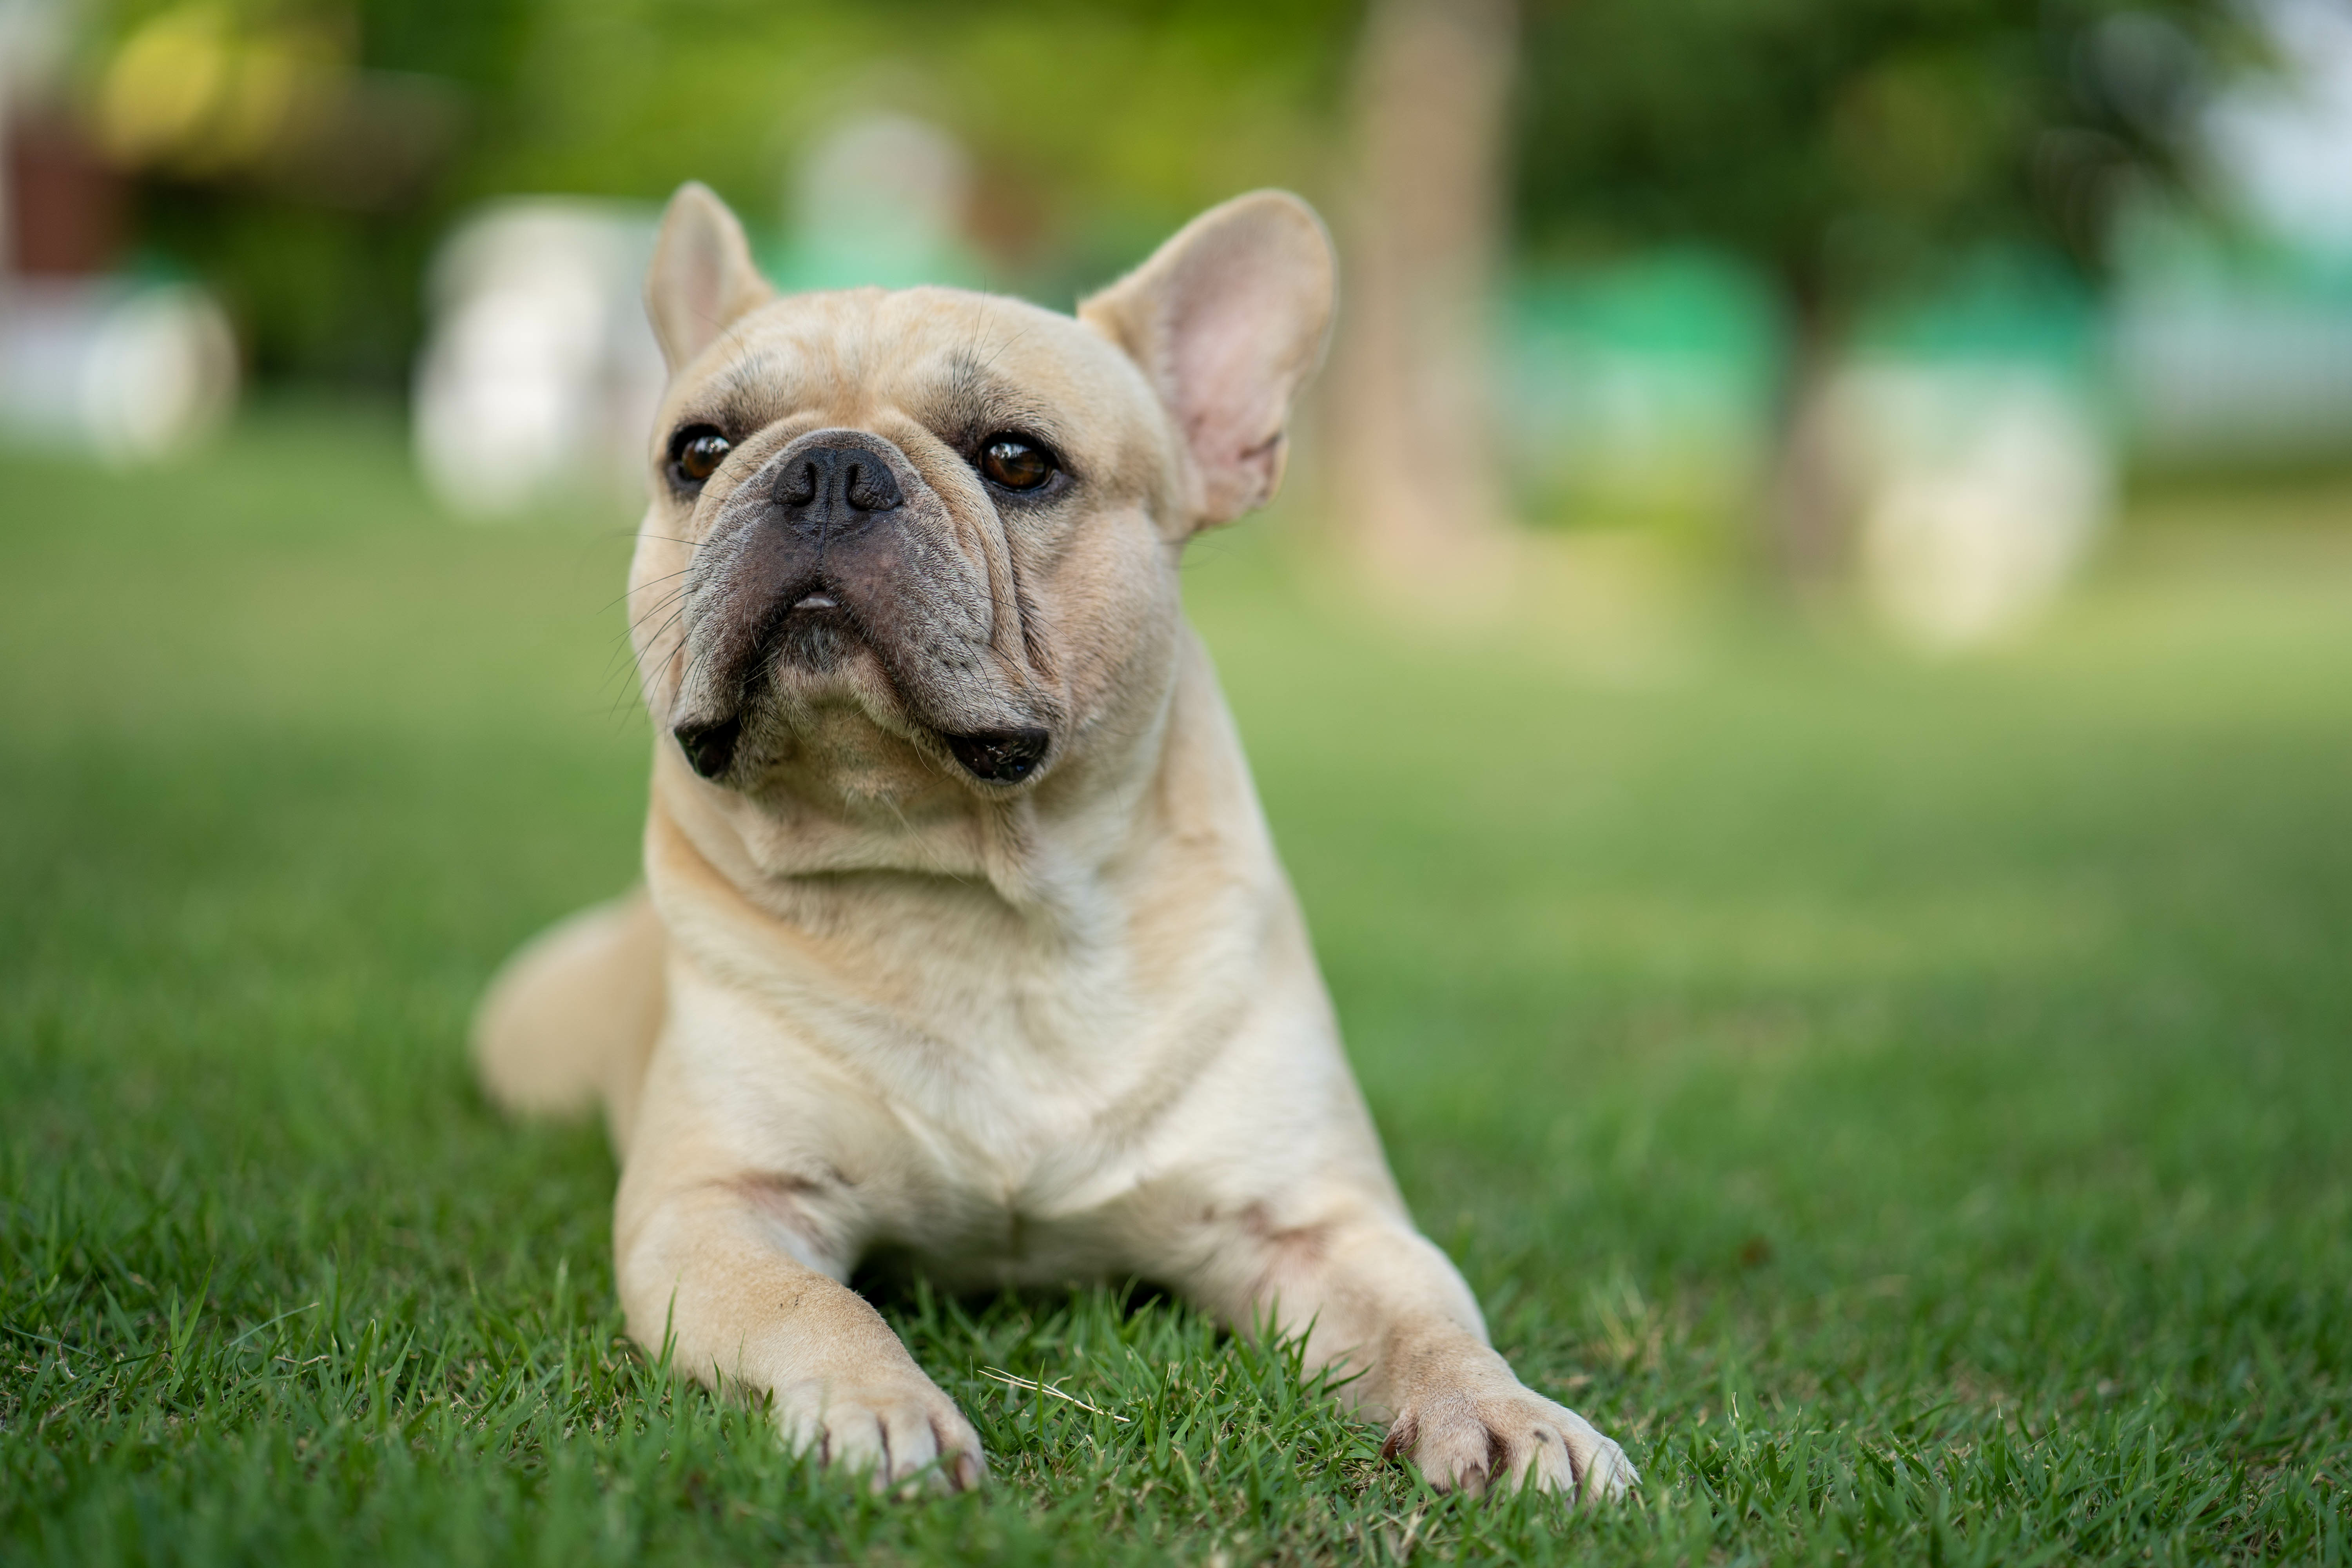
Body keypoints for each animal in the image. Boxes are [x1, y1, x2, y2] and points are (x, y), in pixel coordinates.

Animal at [466, 177, 1628, 1504]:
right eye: (699, 451)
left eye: (1017, 461)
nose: (826, 468)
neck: (971, 891)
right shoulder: (720, 1206)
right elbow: (815, 1307)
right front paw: (881, 1410)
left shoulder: (1319, 1224)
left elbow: (1432, 1322)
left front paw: (1510, 1415)